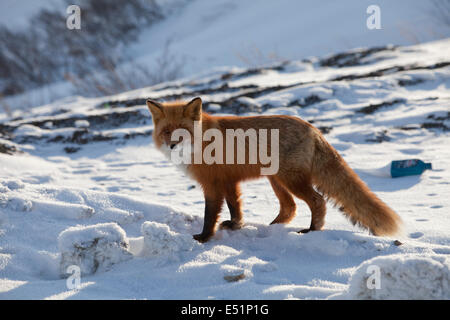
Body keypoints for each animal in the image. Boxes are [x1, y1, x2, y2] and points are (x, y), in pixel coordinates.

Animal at [147, 97, 400, 242]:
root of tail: (313, 128)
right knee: (290, 207)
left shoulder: (212, 184)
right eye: (167, 131)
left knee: (317, 201)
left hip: (290, 180)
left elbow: (210, 214)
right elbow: (235, 207)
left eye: (182, 131)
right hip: (276, 180)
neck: (203, 142)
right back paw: (274, 227)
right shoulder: (229, 180)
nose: (172, 145)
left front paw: (203, 237)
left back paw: (312, 230)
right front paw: (236, 226)